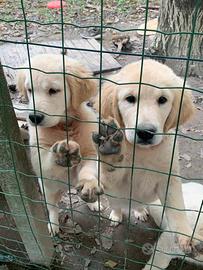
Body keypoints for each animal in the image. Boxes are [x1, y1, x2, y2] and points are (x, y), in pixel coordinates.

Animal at [16, 54, 103, 234]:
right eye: (30, 90)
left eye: (53, 91)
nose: (34, 118)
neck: (64, 126)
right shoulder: (39, 154)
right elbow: (47, 160)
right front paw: (60, 152)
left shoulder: (91, 151)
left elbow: (89, 168)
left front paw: (89, 184)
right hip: (48, 190)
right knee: (53, 208)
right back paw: (54, 224)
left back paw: (93, 202)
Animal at [81, 59, 203, 258]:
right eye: (130, 99)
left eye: (162, 100)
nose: (146, 132)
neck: (143, 152)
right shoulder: (117, 180)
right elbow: (112, 171)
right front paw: (110, 152)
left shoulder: (169, 178)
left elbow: (177, 209)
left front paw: (186, 236)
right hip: (113, 194)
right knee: (117, 204)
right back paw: (116, 215)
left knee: (138, 203)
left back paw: (140, 211)